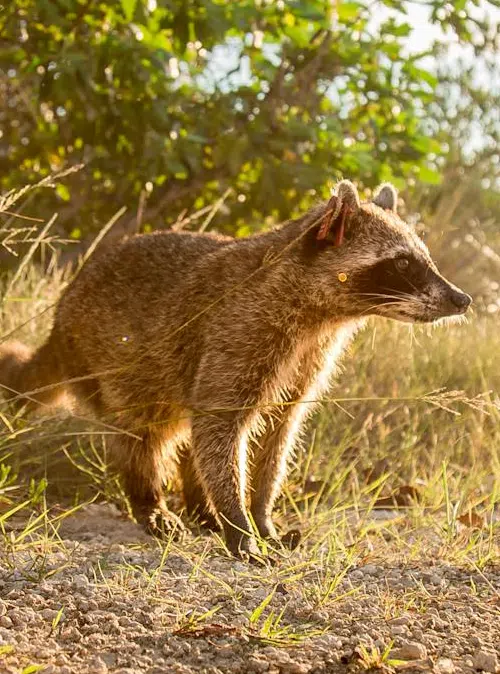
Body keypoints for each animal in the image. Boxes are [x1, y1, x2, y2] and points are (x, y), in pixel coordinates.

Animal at [0, 180, 471, 556]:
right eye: (403, 263)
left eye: (424, 257)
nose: (461, 298)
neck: (322, 316)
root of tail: (59, 322)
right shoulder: (238, 331)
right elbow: (221, 427)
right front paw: (238, 522)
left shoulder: (307, 359)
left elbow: (278, 435)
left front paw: (260, 515)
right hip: (115, 361)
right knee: (143, 434)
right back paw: (151, 500)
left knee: (185, 433)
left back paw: (200, 506)